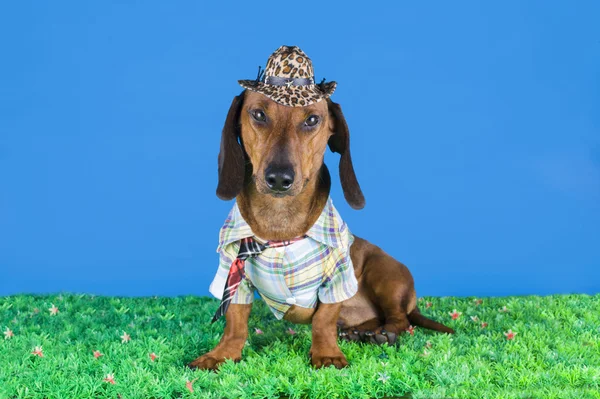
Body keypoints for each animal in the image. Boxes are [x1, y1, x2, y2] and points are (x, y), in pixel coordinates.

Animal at [189, 86, 454, 370]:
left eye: (312, 119)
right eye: (258, 114)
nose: (279, 179)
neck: (280, 226)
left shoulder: (338, 277)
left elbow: (324, 319)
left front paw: (326, 353)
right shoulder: (232, 274)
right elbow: (235, 322)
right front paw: (221, 354)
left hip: (385, 275)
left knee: (398, 318)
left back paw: (384, 334)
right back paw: (360, 332)